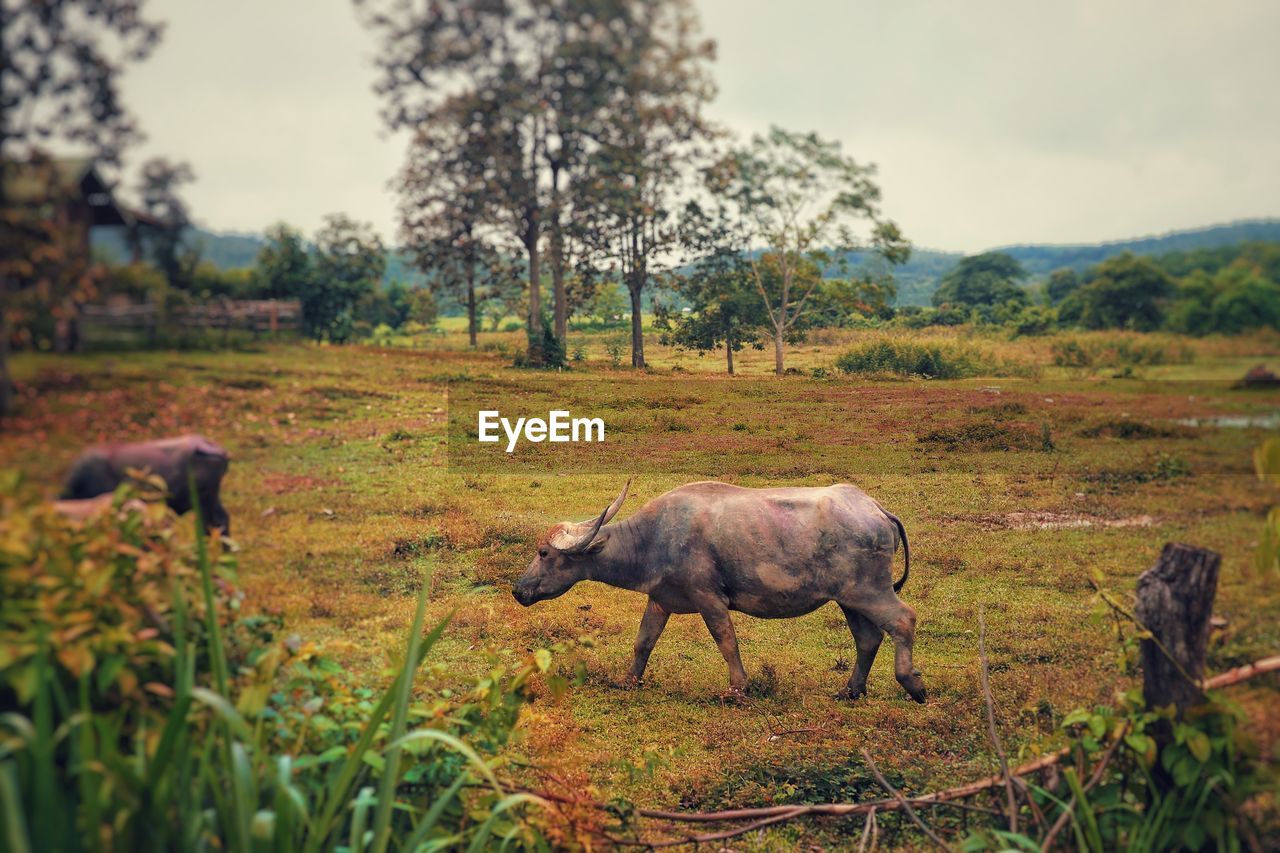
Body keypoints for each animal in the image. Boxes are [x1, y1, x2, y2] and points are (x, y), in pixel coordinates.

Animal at [514, 473, 926, 701]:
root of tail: (875, 509)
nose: (519, 590)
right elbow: (643, 641)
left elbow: (726, 640)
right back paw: (850, 690)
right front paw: (628, 681)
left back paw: (913, 685)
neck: (653, 538)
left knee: (903, 619)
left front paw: (737, 689)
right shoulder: (660, 599)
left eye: (544, 553)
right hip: (848, 599)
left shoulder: (709, 598)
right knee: (867, 638)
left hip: (869, 591)